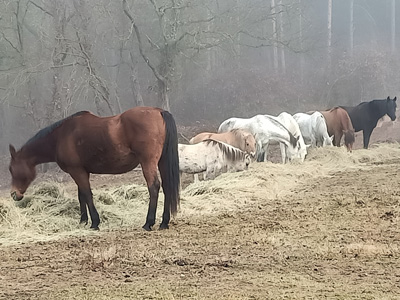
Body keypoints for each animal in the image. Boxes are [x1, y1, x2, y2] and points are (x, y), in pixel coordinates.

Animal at [8, 106, 180, 231]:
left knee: (154, 187)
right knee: (167, 187)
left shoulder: (77, 171)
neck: (61, 136)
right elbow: (81, 196)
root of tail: (158, 111)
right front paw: (83, 221)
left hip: (147, 162)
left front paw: (95, 222)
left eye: (11, 169)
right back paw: (164, 222)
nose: (14, 194)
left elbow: (87, 194)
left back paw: (148, 223)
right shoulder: (81, 171)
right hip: (161, 162)